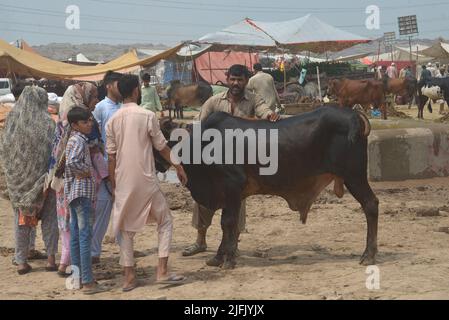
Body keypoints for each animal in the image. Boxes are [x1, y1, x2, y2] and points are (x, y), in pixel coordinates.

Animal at [155, 106, 378, 268]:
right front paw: (219, 257)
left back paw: (369, 254)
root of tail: (354, 114)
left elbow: (228, 222)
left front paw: (227, 260)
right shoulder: (229, 194)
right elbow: (227, 224)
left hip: (354, 176)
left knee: (371, 204)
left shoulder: (232, 185)